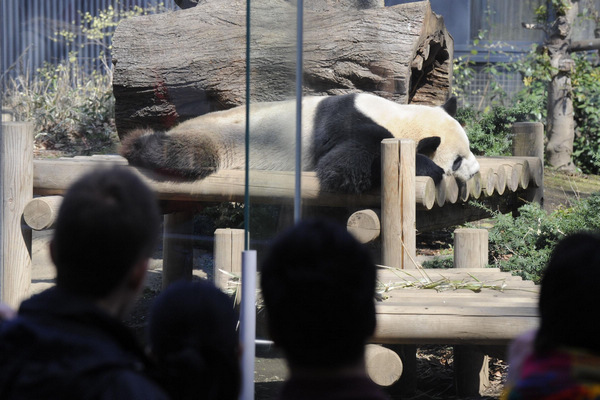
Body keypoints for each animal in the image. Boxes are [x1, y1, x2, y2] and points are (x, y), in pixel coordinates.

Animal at [119, 94, 480, 194]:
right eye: (457, 159)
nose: (476, 172)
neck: (400, 116)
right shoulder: (351, 124)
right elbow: (344, 168)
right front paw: (430, 168)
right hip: (221, 137)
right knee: (188, 154)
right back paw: (135, 144)